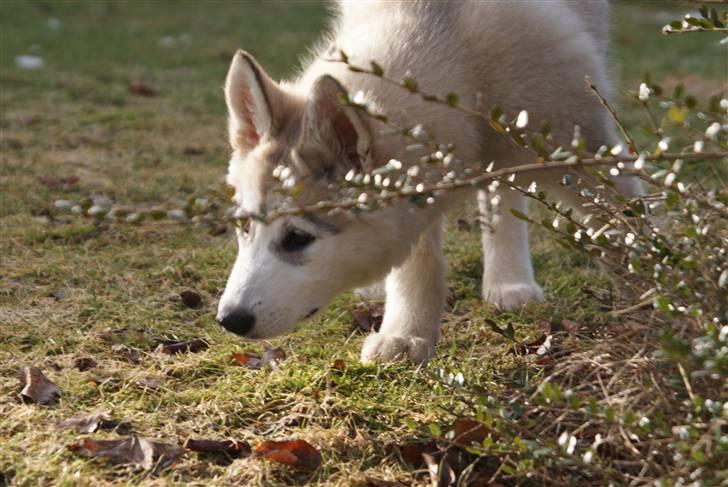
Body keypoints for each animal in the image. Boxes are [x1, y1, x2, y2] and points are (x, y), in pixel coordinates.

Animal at [216, 0, 644, 362]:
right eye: (243, 227)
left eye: (298, 238)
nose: (229, 321)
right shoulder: (417, 192)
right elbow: (419, 262)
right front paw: (407, 333)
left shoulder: (586, 145)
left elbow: (625, 231)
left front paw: (651, 311)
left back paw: (510, 282)